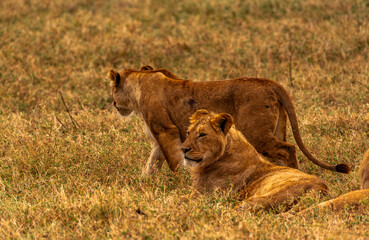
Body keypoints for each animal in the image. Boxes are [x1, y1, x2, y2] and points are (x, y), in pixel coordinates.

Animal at [108, 65, 350, 174]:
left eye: (112, 91)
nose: (114, 104)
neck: (142, 80)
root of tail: (269, 82)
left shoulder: (165, 130)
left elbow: (173, 160)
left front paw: (180, 180)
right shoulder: (162, 136)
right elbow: (152, 162)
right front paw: (145, 181)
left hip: (256, 133)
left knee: (288, 148)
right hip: (276, 128)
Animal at [180, 109, 326, 211]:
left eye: (202, 135)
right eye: (188, 133)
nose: (183, 149)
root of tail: (321, 185)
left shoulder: (204, 195)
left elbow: (177, 200)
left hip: (262, 198)